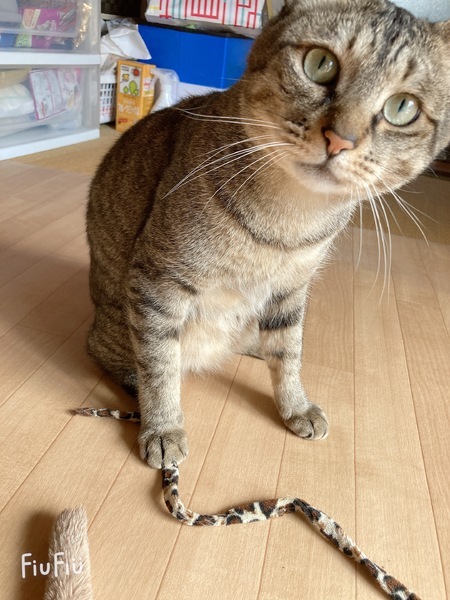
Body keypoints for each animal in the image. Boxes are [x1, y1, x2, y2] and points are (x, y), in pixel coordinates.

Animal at [87, 0, 450, 469]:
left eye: (403, 107)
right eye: (320, 64)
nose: (341, 139)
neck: (289, 222)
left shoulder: (293, 289)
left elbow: (288, 352)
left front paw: (295, 404)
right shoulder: (158, 282)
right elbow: (159, 364)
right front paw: (164, 426)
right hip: (118, 321)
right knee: (111, 351)